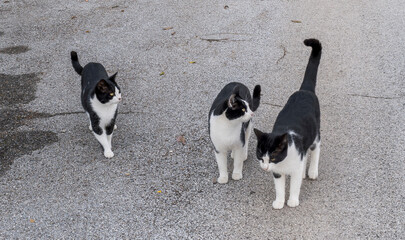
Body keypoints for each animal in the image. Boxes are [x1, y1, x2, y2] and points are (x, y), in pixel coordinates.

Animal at [252, 38, 322, 209]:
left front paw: (293, 201)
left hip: (315, 131)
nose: (265, 167)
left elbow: (295, 185)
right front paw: (279, 202)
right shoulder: (277, 172)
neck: (283, 163)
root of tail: (305, 90)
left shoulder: (293, 164)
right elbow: (279, 188)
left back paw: (312, 171)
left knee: (316, 148)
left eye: (272, 157)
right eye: (260, 156)